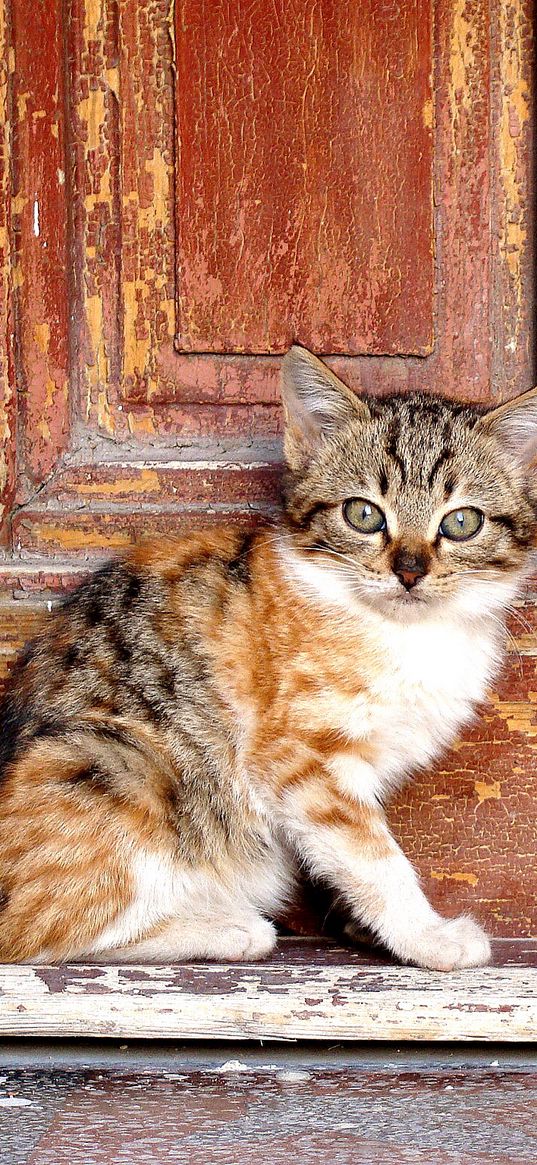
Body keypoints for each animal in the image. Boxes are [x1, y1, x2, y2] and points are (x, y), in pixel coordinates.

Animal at [1, 342, 535, 964]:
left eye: (462, 522)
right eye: (363, 514)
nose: (409, 570)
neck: (407, 631)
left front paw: (360, 925)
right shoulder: (298, 758)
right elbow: (373, 857)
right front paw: (426, 937)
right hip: (114, 766)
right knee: (36, 930)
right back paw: (227, 927)